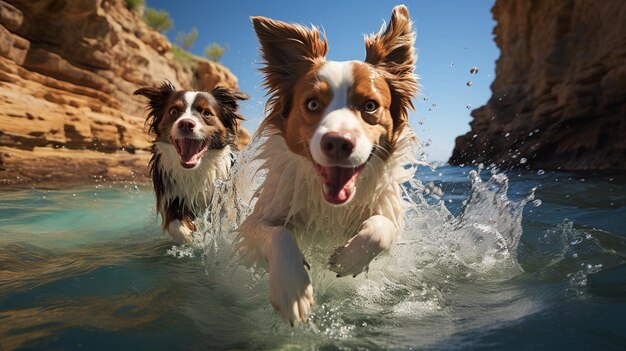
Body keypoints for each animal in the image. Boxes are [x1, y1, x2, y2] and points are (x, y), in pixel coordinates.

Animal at [135, 81, 247, 243]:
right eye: (173, 111)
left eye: (207, 113)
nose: (186, 124)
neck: (195, 170)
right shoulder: (171, 196)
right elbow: (176, 225)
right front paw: (192, 237)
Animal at [239, 6, 420, 324]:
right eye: (312, 104)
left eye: (370, 106)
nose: (337, 143)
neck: (331, 207)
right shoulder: (256, 222)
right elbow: (278, 234)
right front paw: (291, 289)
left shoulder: (390, 216)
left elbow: (382, 228)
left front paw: (348, 259)